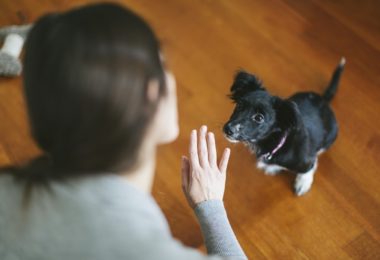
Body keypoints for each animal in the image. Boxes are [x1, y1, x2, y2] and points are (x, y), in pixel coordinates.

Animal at [223, 58, 344, 195]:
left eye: (259, 118)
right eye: (239, 105)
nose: (228, 129)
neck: (277, 143)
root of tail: (323, 100)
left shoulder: (306, 161)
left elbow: (309, 168)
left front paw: (303, 183)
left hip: (331, 136)